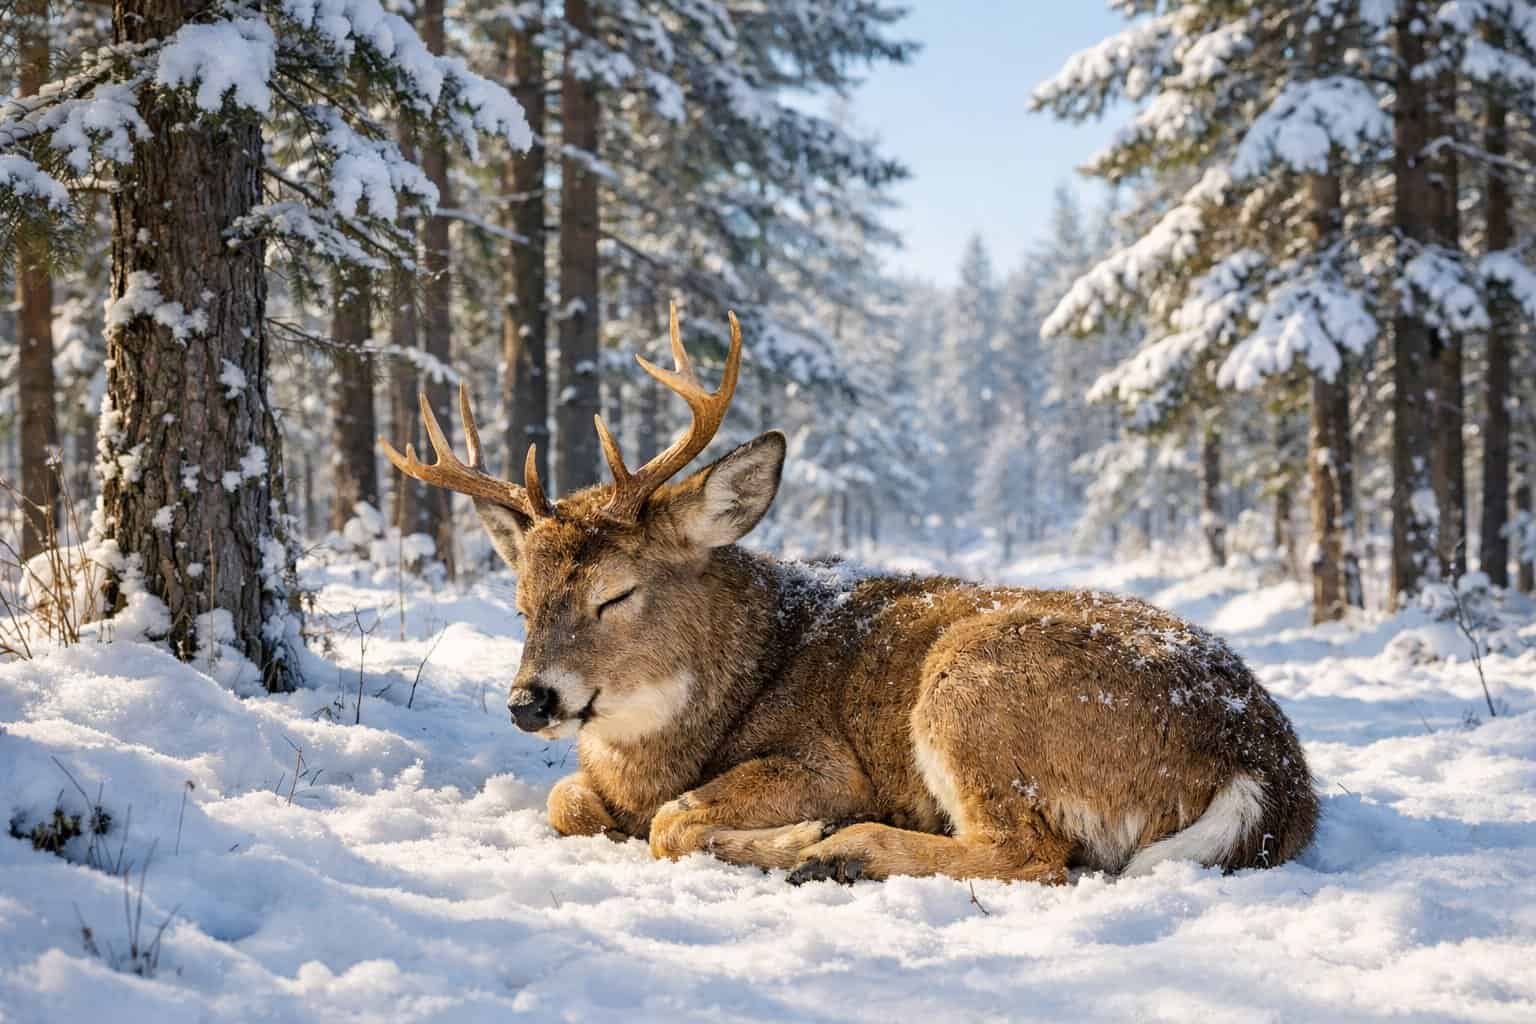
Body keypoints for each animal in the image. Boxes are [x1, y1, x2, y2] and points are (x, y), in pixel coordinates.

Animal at [380, 306, 1317, 885]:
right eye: (521, 603)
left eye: (616, 594)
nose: (528, 701)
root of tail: (1264, 762)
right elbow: (565, 799)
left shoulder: (823, 759)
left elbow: (669, 822)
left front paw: (795, 835)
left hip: (974, 688)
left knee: (1032, 852)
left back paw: (844, 851)